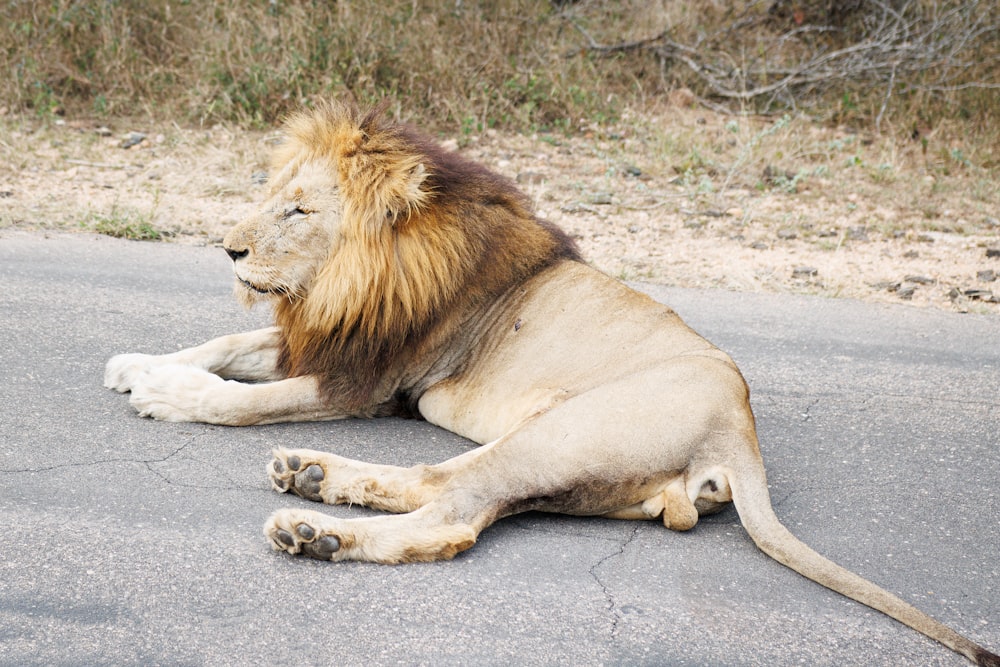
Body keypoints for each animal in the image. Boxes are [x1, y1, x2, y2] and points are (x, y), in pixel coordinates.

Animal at [103, 102, 1000, 664]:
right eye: (271, 198)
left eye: (297, 211)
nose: (228, 248)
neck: (352, 279)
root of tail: (739, 432)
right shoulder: (334, 344)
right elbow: (229, 341)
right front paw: (136, 363)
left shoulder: (367, 380)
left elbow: (243, 395)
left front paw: (166, 393)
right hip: (549, 447)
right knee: (436, 479)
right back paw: (313, 477)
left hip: (559, 433)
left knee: (453, 517)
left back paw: (311, 527)